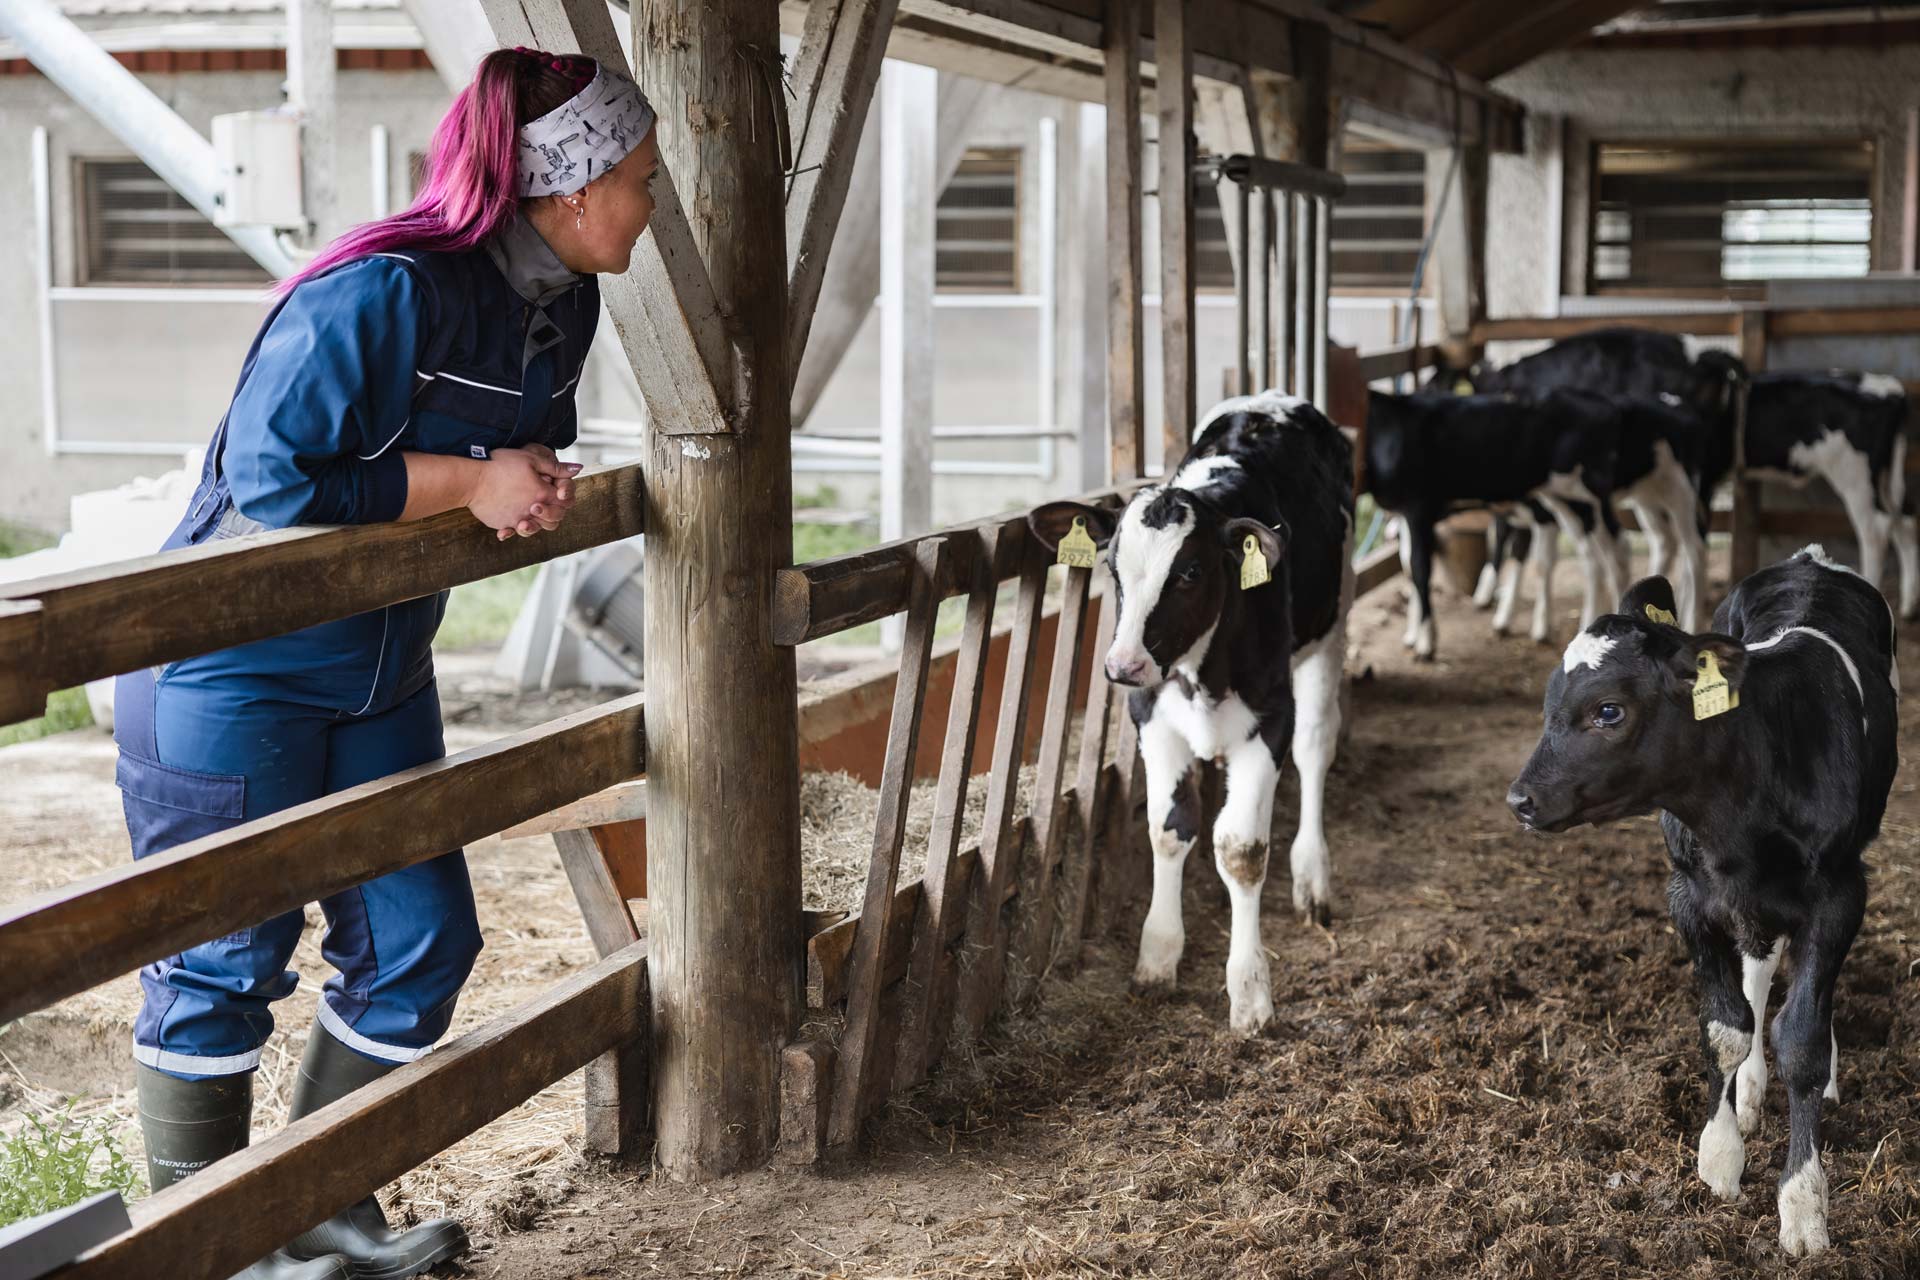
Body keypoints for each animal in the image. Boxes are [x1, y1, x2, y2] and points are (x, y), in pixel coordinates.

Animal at [1029, 401, 1359, 1043]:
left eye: (1191, 571)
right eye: (1112, 568)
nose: (1123, 665)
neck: (1200, 667)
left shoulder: (1270, 719)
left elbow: (1240, 849)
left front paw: (1250, 993)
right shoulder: (1152, 718)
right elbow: (1168, 829)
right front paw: (1157, 956)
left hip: (1332, 623)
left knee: (1315, 749)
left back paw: (1312, 878)